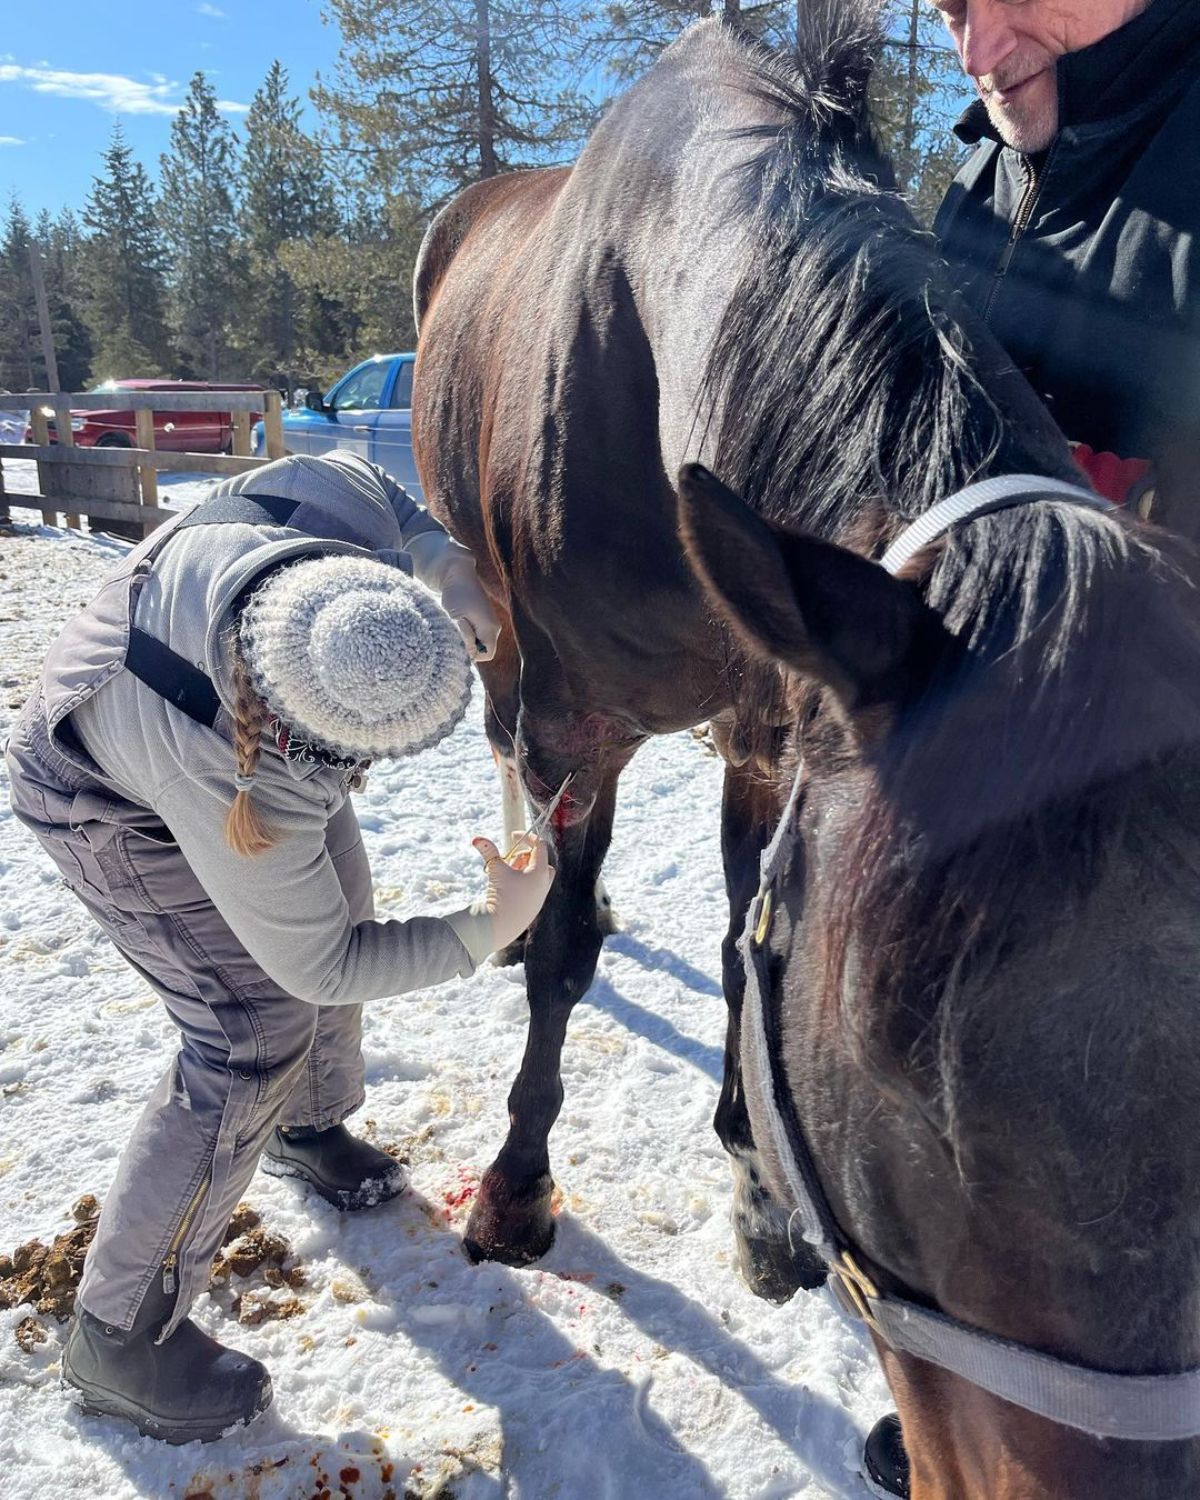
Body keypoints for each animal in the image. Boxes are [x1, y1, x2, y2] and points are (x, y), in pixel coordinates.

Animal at [414, 8, 1200, 1488]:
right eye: (893, 1077)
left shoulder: (775, 733)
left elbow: (740, 927)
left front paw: (757, 1185)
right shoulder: (585, 722)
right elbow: (563, 955)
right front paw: (516, 1188)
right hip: (499, 632)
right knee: (511, 767)